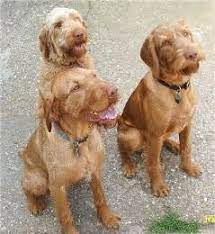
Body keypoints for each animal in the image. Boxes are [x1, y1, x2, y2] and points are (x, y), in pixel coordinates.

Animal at [116, 20, 204, 197]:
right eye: (166, 43)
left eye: (186, 34)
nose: (193, 54)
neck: (176, 88)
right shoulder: (155, 134)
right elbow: (153, 165)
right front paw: (158, 186)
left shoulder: (187, 125)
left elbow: (187, 148)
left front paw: (188, 167)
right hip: (133, 135)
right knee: (123, 148)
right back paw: (128, 165)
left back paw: (173, 144)